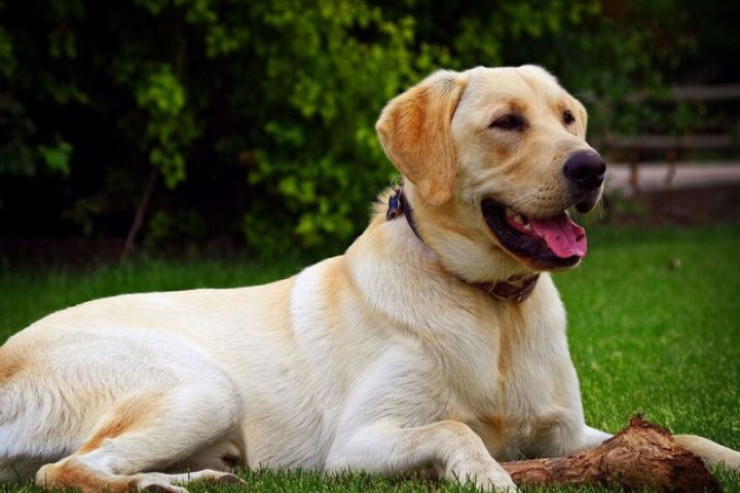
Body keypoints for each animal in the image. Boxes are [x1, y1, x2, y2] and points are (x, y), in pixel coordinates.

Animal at [1, 66, 740, 492]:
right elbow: (457, 430)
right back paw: (164, 485)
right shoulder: (357, 445)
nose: (593, 167)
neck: (490, 304)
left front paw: (724, 457)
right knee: (62, 469)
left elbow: (684, 437)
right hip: (200, 387)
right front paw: (491, 476)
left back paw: (205, 475)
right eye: (506, 122)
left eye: (567, 117)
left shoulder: (566, 434)